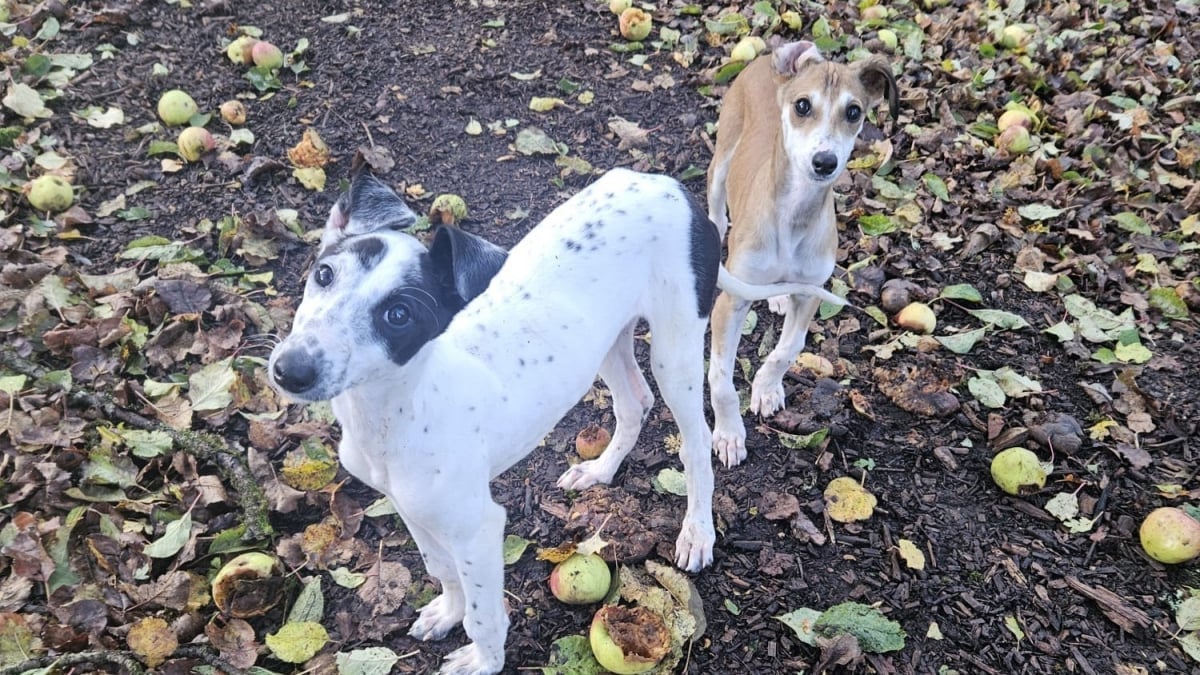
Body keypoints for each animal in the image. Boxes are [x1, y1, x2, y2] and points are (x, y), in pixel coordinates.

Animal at [268, 165, 840, 667]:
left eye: (398, 314)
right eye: (324, 274)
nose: (289, 370)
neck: (396, 408)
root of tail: (673, 187)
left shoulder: (478, 527)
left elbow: (484, 613)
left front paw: (483, 659)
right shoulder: (414, 510)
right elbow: (440, 569)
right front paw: (447, 612)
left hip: (675, 349)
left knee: (695, 442)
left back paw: (697, 532)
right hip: (603, 342)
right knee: (635, 402)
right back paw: (599, 471)